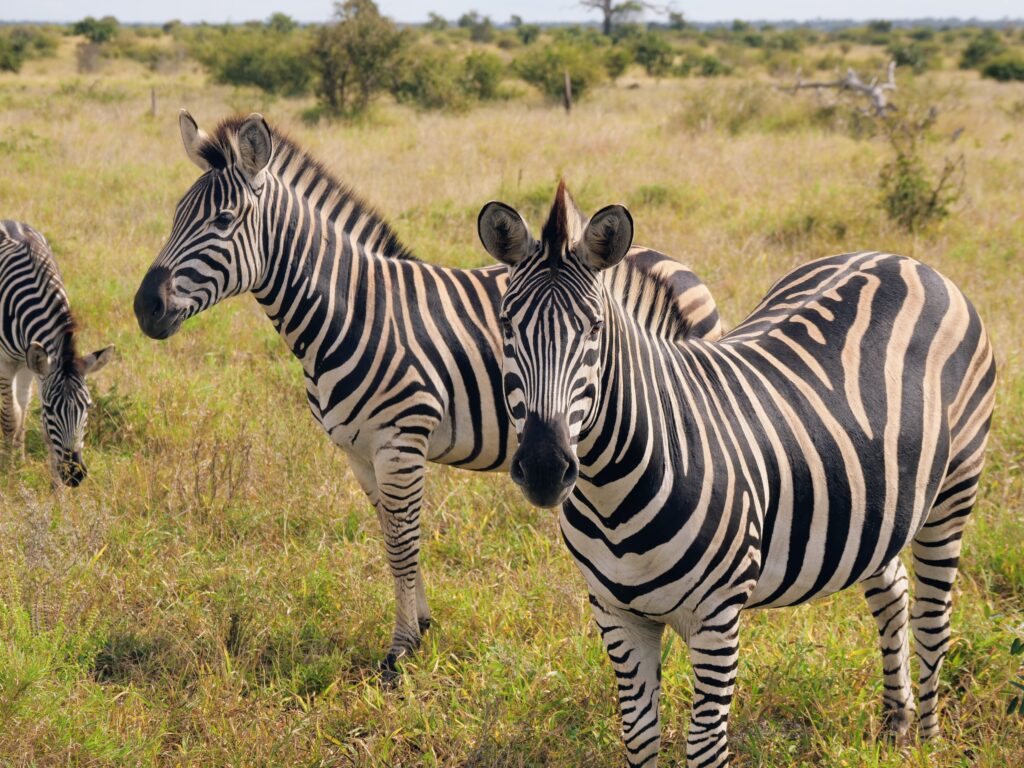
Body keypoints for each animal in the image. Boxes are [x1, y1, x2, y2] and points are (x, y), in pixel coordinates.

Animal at [0, 221, 116, 486]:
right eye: (50, 409)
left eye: (88, 407)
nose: (75, 475)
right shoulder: (5, 362)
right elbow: (10, 419)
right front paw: (8, 477)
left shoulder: (37, 366)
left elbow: (40, 429)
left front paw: (56, 492)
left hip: (27, 364)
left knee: (22, 403)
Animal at [132, 112, 723, 670]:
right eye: (176, 215)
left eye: (223, 220)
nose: (145, 307)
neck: (353, 311)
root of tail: (674, 262)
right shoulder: (359, 451)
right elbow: (392, 535)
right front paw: (420, 625)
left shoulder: (401, 442)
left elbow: (402, 543)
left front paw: (401, 649)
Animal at [478, 192, 996, 766]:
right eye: (506, 327)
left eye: (593, 329)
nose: (545, 467)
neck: (613, 496)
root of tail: (902, 260)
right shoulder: (616, 613)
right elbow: (638, 734)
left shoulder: (718, 617)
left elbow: (705, 746)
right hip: (875, 503)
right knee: (893, 592)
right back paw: (896, 722)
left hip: (955, 487)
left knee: (932, 618)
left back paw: (928, 739)